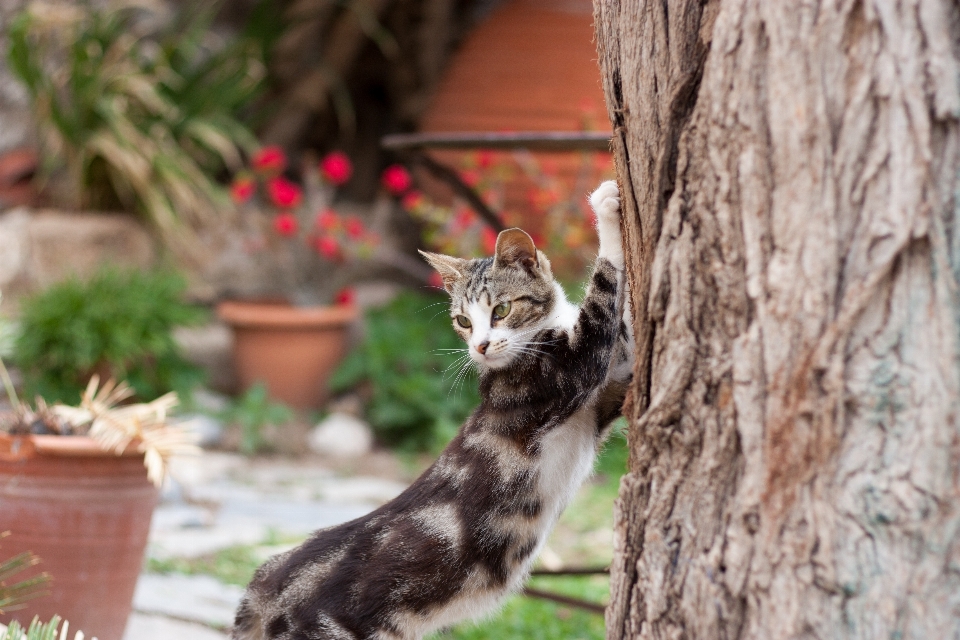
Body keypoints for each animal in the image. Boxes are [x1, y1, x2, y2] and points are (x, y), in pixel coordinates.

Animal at [232, 179, 632, 640]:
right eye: (463, 321)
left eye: (501, 309)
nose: (480, 346)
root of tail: (269, 582)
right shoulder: (568, 371)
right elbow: (605, 296)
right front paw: (606, 208)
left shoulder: (603, 399)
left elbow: (627, 340)